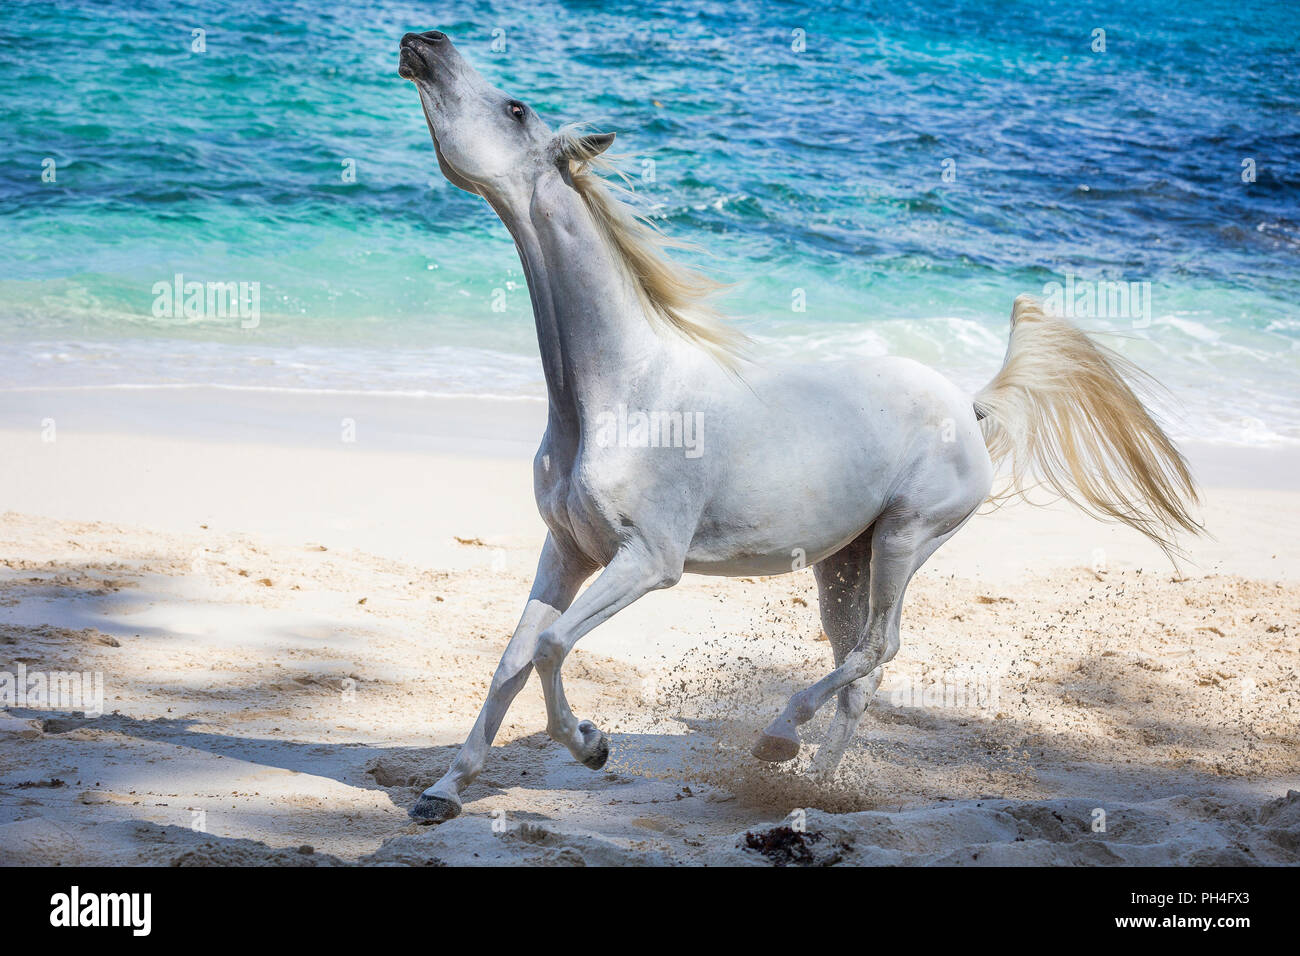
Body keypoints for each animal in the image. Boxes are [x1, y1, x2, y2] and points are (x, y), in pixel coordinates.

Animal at [395, 31, 1196, 822]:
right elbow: (513, 658)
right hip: (843, 565)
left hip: (906, 540)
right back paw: (811, 789)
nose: (421, 43)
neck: (622, 394)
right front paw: (443, 791)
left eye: (516, 108)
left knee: (878, 651)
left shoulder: (648, 561)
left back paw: (779, 741)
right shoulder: (567, 551)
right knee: (863, 670)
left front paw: (591, 745)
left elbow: (553, 646)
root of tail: (968, 405)